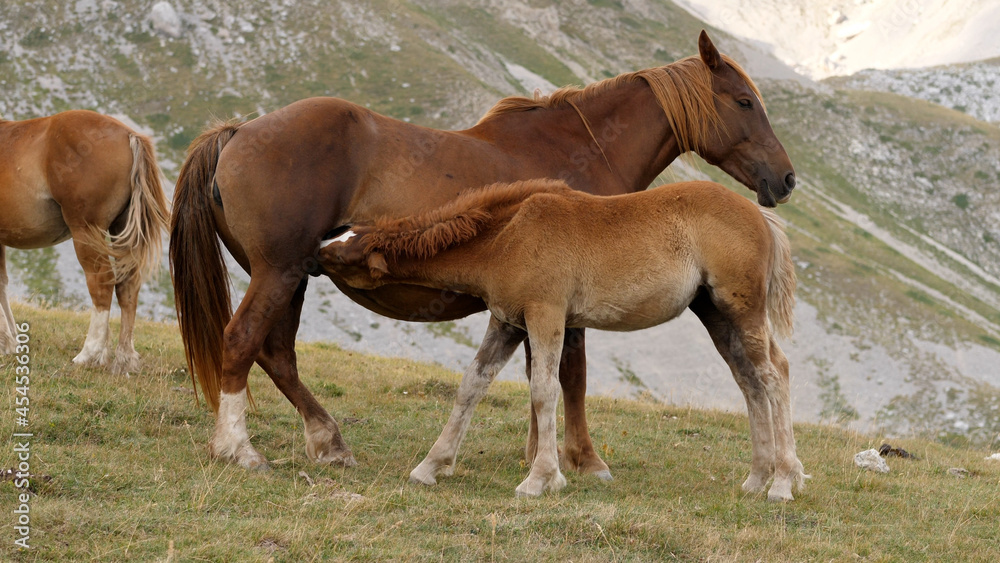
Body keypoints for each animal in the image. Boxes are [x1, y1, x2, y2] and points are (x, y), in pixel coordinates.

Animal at [0, 110, 170, 374]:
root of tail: (129, 135)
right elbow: (3, 284)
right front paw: (11, 343)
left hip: (86, 234)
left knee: (101, 283)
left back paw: (89, 353)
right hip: (120, 232)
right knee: (127, 286)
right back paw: (124, 358)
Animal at [318, 179, 807, 501]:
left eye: (346, 252)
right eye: (343, 236)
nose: (314, 249)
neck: (508, 236)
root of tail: (760, 214)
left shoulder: (546, 315)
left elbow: (543, 390)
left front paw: (541, 478)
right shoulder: (507, 322)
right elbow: (472, 385)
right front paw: (430, 466)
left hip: (742, 309)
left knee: (775, 373)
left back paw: (782, 483)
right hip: (715, 314)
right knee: (750, 381)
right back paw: (756, 478)